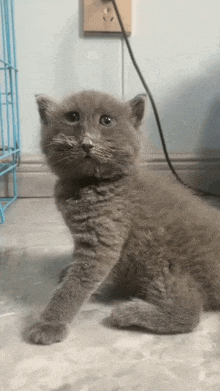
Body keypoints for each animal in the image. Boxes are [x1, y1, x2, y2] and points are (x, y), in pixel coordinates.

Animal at [24, 89, 220, 346]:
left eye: (106, 121)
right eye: (72, 117)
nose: (87, 143)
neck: (90, 183)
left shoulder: (103, 240)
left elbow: (75, 286)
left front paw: (50, 323)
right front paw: (72, 272)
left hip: (165, 267)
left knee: (189, 310)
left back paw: (127, 313)